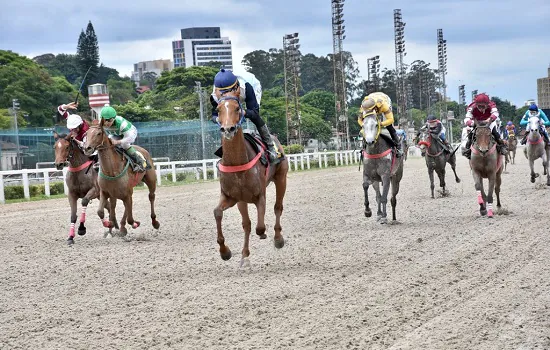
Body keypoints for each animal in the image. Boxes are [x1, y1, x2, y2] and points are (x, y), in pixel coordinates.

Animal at [212, 95, 292, 268]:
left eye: (237, 108)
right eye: (218, 110)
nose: (228, 129)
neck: (237, 163)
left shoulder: (260, 195)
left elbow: (260, 227)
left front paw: (268, 236)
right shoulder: (231, 197)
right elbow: (218, 212)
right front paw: (225, 252)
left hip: (281, 178)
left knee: (277, 208)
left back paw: (278, 239)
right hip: (242, 200)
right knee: (247, 224)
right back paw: (245, 255)